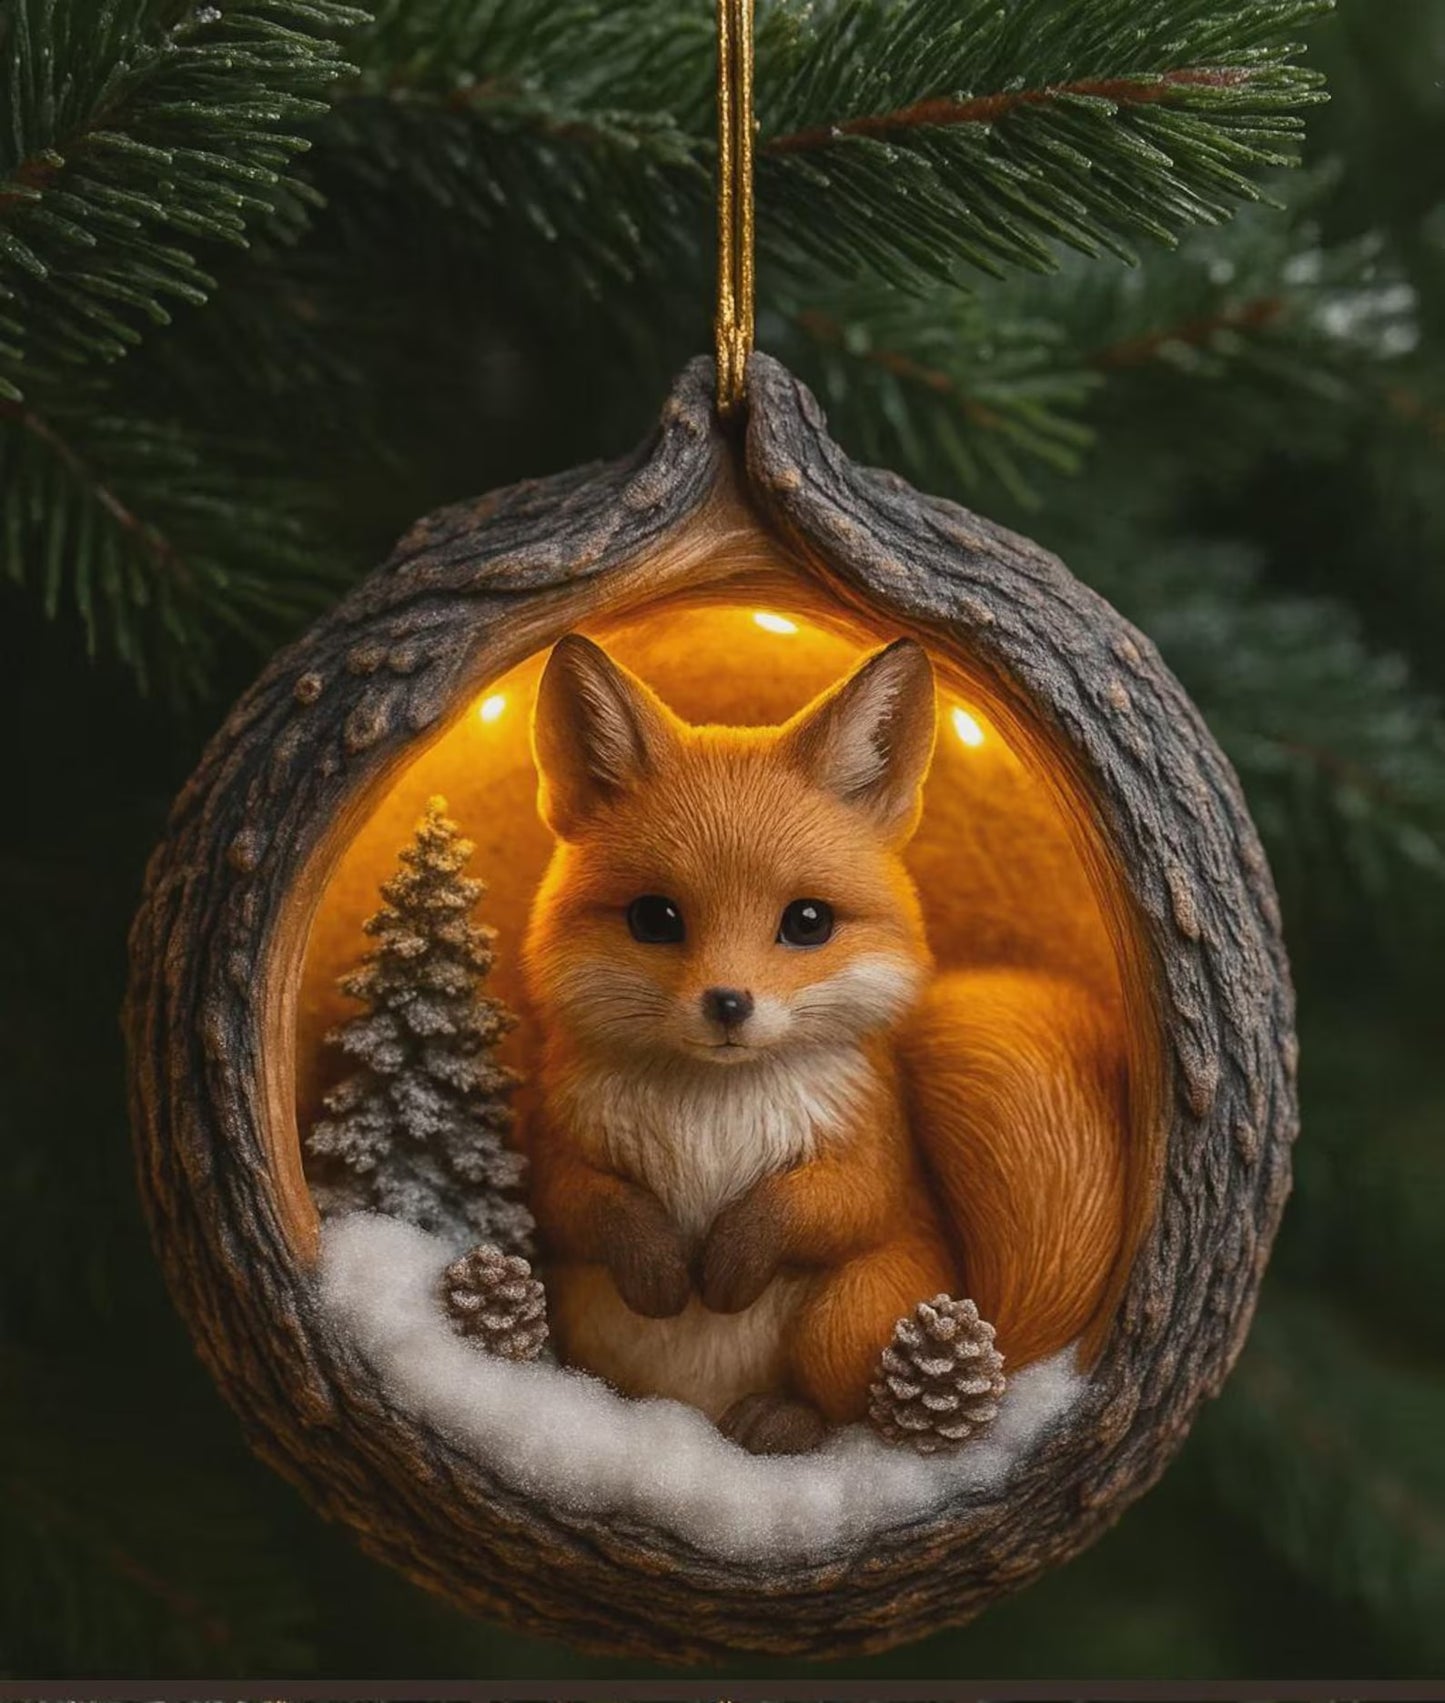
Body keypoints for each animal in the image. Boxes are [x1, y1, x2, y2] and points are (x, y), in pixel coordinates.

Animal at [521, 631, 1128, 1455]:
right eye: (654, 917)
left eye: (807, 921)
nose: (728, 1004)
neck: (714, 1106)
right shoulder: (556, 1147)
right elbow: (587, 1205)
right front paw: (663, 1270)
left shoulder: (875, 1149)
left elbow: (827, 1204)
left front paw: (729, 1268)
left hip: (843, 1313)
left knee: (852, 1415)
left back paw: (778, 1421)